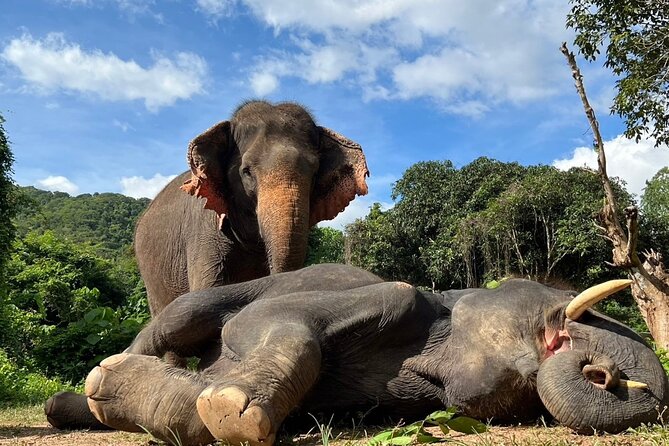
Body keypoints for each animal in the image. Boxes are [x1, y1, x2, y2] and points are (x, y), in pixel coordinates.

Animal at [44, 264, 669, 445]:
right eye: (555, 294)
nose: (611, 375)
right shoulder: (397, 297)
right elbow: (260, 327)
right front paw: (229, 407)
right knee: (182, 317)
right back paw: (93, 385)